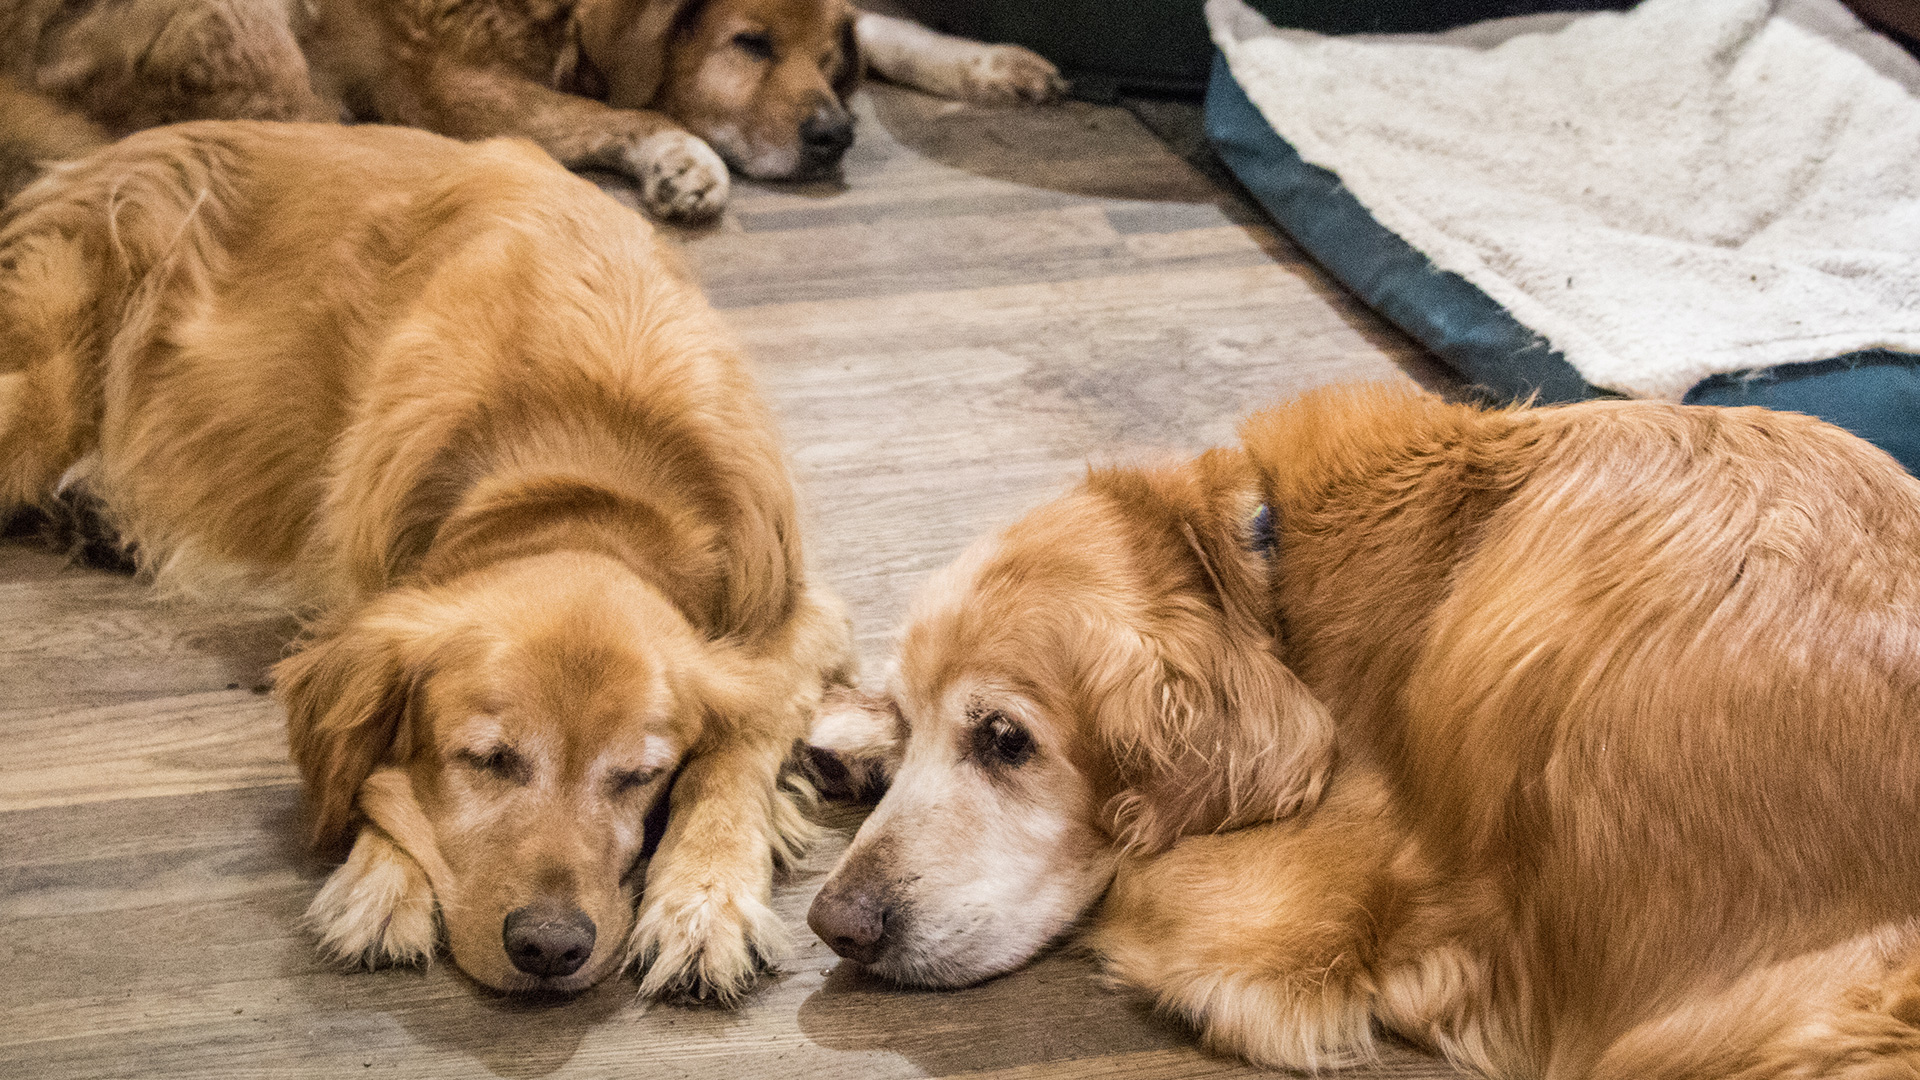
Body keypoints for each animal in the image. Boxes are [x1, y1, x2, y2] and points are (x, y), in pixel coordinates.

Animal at [0, 119, 856, 991]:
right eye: (486, 759)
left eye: (641, 776)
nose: (551, 946)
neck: (584, 473)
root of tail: (93, 161)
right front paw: (385, 875)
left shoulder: (792, 614)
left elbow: (739, 751)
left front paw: (704, 899)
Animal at [802, 386, 1920, 1076]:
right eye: (928, 713)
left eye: (1005, 739)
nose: (834, 925)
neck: (1264, 574)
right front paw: (856, 727)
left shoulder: (1279, 908)